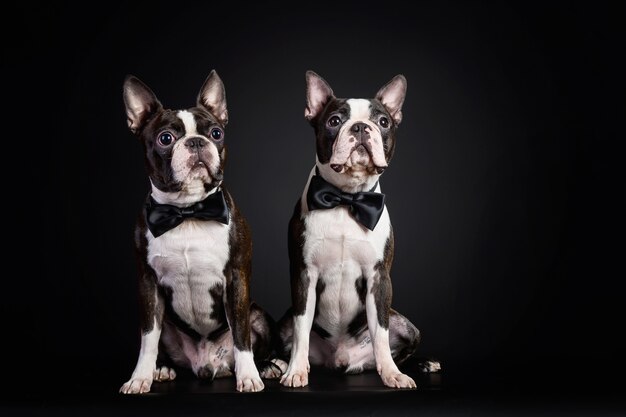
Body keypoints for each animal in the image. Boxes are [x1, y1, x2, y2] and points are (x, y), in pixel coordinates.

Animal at [119, 70, 280, 392]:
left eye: (216, 133)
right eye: (165, 138)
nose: (196, 142)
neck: (188, 212)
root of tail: (207, 366)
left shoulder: (236, 278)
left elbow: (241, 335)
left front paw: (249, 376)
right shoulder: (147, 282)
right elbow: (147, 338)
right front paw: (140, 377)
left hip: (258, 314)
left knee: (253, 334)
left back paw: (267, 366)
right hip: (168, 322)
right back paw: (162, 369)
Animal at [278, 70, 438, 386]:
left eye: (383, 122)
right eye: (334, 121)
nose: (362, 127)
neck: (346, 199)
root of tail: (339, 359)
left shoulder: (378, 278)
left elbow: (381, 334)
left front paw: (391, 374)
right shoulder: (304, 275)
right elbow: (301, 330)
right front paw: (295, 371)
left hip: (408, 326)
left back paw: (421, 364)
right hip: (282, 322)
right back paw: (275, 364)